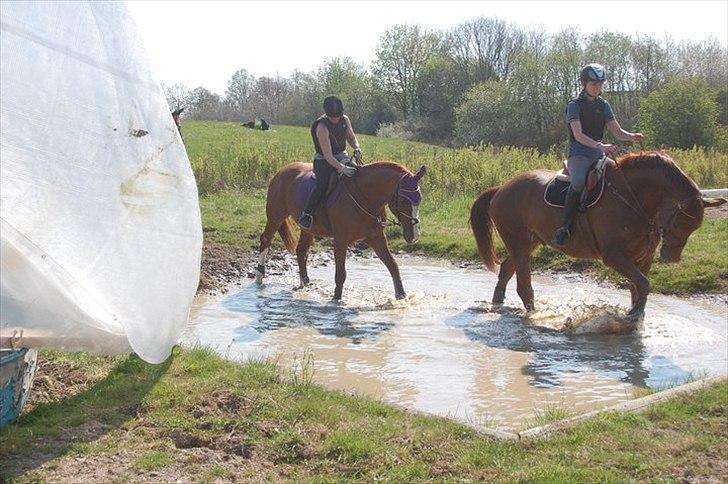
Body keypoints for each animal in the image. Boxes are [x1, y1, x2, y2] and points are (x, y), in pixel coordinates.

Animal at [256, 162, 426, 298]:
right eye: (404, 201)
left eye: (419, 199)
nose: (414, 235)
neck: (364, 197)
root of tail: (283, 170)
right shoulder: (340, 241)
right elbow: (340, 274)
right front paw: (336, 299)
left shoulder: (376, 238)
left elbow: (393, 266)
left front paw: (401, 296)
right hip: (276, 216)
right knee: (266, 240)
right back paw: (259, 276)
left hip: (308, 229)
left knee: (301, 250)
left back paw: (305, 282)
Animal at [470, 152, 724, 318]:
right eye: (679, 221)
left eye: (695, 227)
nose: (672, 258)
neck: (634, 198)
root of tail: (501, 188)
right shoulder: (613, 256)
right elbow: (642, 284)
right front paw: (633, 317)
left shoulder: (644, 257)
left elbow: (638, 287)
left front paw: (637, 315)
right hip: (519, 243)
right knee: (524, 286)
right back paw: (537, 315)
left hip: (529, 242)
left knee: (506, 269)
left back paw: (497, 302)